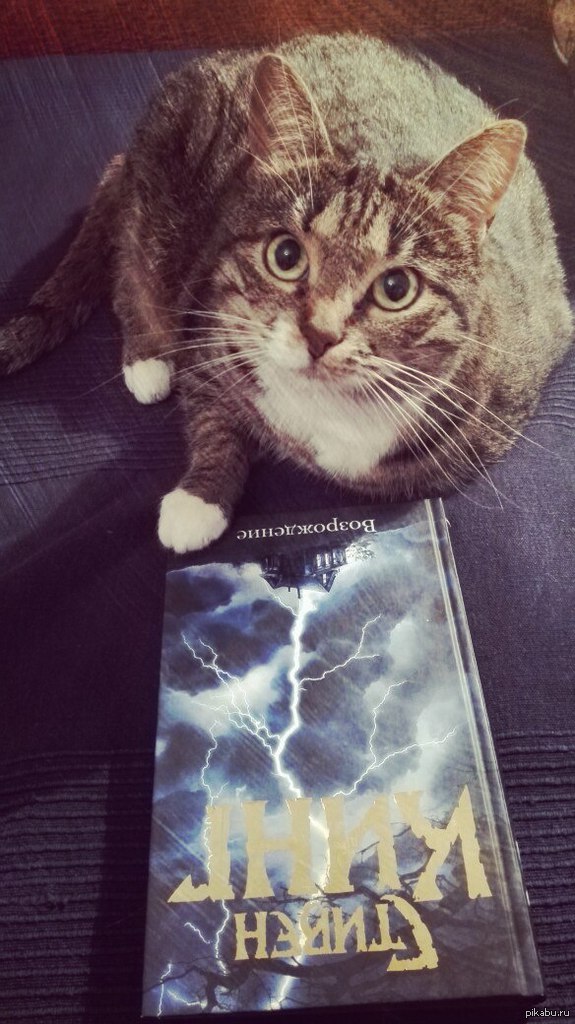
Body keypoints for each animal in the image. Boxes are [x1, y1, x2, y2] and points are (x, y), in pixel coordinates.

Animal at [0, 34, 572, 552]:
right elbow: (211, 413)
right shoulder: (206, 317)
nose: (320, 334)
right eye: (286, 255)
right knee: (128, 266)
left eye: (396, 288)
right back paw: (148, 359)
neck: (325, 415)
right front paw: (199, 498)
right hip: (157, 199)